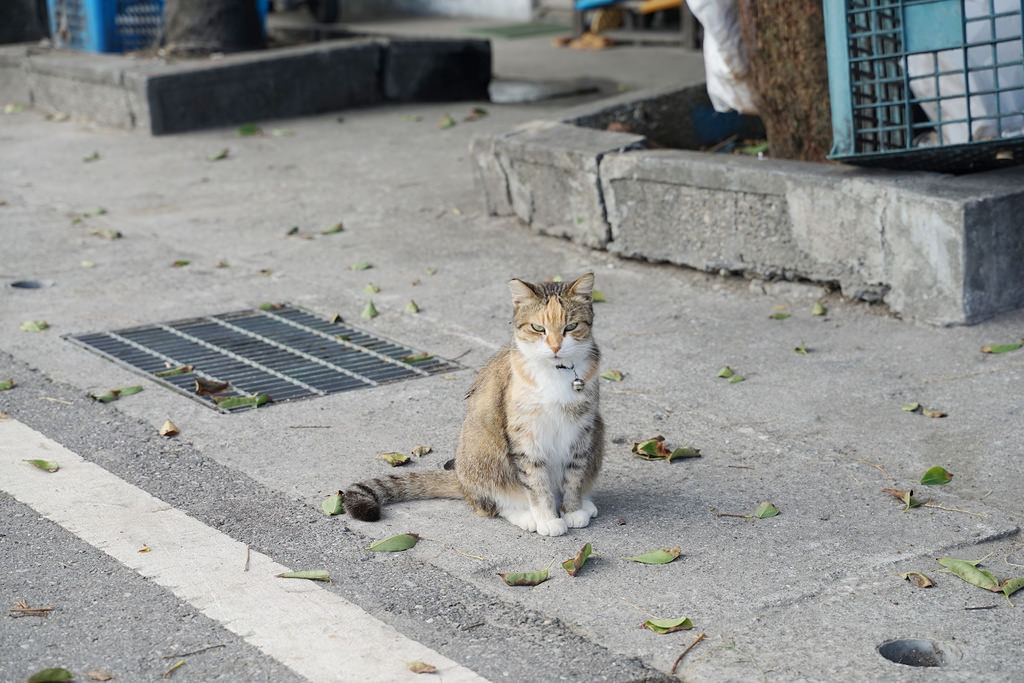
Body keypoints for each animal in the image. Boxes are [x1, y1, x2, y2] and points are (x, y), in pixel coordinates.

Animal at [344, 274, 598, 536]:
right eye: (538, 328)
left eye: (571, 327)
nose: (556, 347)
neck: (556, 372)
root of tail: (460, 478)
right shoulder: (525, 436)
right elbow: (536, 482)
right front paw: (547, 519)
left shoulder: (582, 430)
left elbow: (574, 476)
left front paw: (572, 510)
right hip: (484, 453)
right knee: (490, 504)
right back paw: (525, 515)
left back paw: (584, 504)